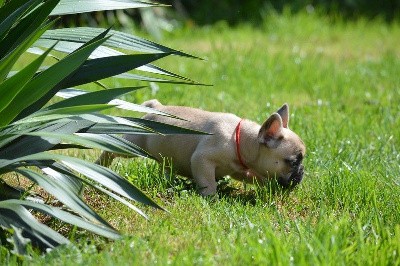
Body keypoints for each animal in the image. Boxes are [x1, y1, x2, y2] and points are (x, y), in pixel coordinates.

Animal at [97, 99, 306, 195]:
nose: (302, 171)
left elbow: (256, 177)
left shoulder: (241, 170)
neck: (240, 140)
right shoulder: (202, 160)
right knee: (111, 149)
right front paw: (211, 199)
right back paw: (100, 165)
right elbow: (208, 183)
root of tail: (156, 106)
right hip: (133, 143)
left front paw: (270, 187)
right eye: (293, 162)